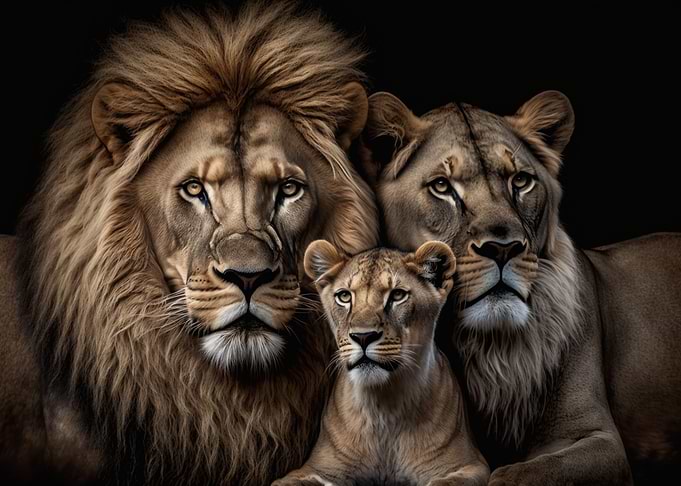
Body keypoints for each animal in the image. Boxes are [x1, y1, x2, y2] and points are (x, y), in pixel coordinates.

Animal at [273, 240, 489, 486]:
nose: (363, 336)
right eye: (344, 297)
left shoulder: (471, 465)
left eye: (397, 295)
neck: (382, 407)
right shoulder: (316, 467)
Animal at [360, 90, 681, 485]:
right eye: (442, 187)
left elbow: (526, 473)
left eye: (521, 181)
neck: (490, 348)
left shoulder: (600, 439)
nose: (503, 248)